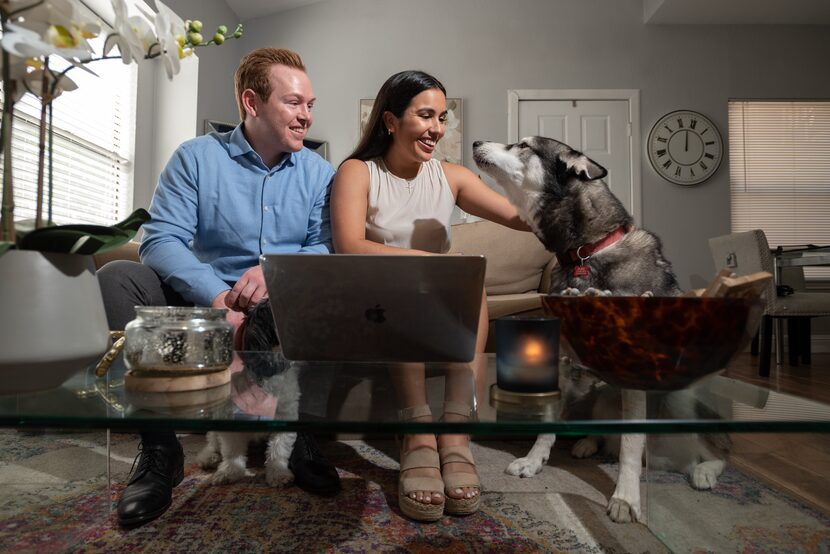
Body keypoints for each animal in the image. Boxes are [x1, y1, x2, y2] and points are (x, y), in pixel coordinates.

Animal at [197, 300, 300, 486]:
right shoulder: (230, 418)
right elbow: (232, 451)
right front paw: (230, 472)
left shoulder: (285, 415)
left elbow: (279, 449)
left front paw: (278, 473)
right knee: (212, 441)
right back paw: (208, 457)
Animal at [474, 136, 728, 520]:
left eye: (522, 145)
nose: (475, 142)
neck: (585, 252)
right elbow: (548, 423)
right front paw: (534, 460)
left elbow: (631, 443)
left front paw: (625, 498)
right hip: (596, 397)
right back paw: (589, 444)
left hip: (681, 401)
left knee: (705, 452)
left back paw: (703, 470)